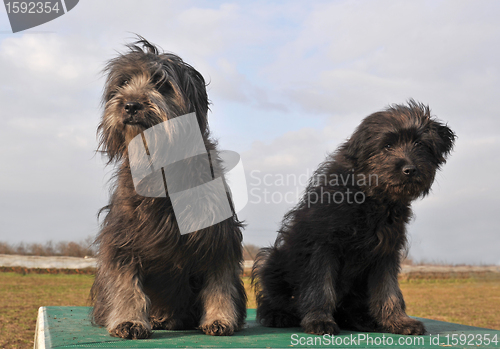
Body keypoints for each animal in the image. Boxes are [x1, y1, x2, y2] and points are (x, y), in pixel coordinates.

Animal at [91, 37, 246, 338]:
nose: (130, 105)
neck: (161, 163)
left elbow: (219, 283)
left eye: (161, 83)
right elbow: (126, 284)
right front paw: (129, 320)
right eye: (123, 83)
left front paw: (220, 318)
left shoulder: (218, 235)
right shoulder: (123, 237)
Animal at [252, 100, 456, 334]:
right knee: (272, 298)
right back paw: (278, 315)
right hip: (272, 260)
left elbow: (389, 290)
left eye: (421, 145)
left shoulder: (386, 251)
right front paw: (319, 320)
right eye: (387, 146)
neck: (369, 197)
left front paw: (398, 321)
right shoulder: (322, 246)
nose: (410, 169)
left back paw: (361, 319)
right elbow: (320, 287)